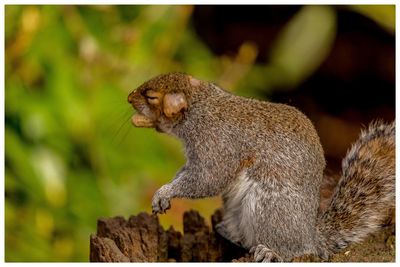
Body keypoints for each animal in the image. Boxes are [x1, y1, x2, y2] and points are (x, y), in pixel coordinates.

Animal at [127, 73, 394, 262]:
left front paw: (165, 191)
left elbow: (207, 179)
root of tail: (311, 236)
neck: (199, 105)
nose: (129, 97)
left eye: (151, 97)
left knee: (291, 250)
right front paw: (164, 191)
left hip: (268, 206)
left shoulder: (217, 145)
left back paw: (271, 252)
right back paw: (229, 232)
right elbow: (186, 174)